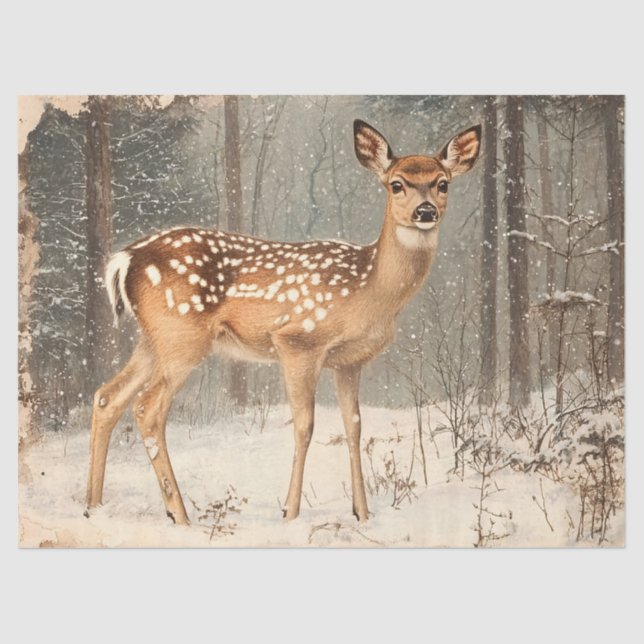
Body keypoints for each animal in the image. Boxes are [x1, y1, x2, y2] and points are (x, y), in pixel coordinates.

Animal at [84, 119, 481, 525]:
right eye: (397, 184)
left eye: (443, 182)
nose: (425, 211)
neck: (368, 288)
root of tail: (124, 260)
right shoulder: (298, 341)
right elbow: (304, 426)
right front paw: (289, 512)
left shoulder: (349, 361)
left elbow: (353, 426)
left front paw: (362, 513)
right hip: (181, 336)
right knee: (147, 408)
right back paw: (179, 515)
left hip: (154, 340)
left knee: (107, 397)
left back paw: (93, 506)